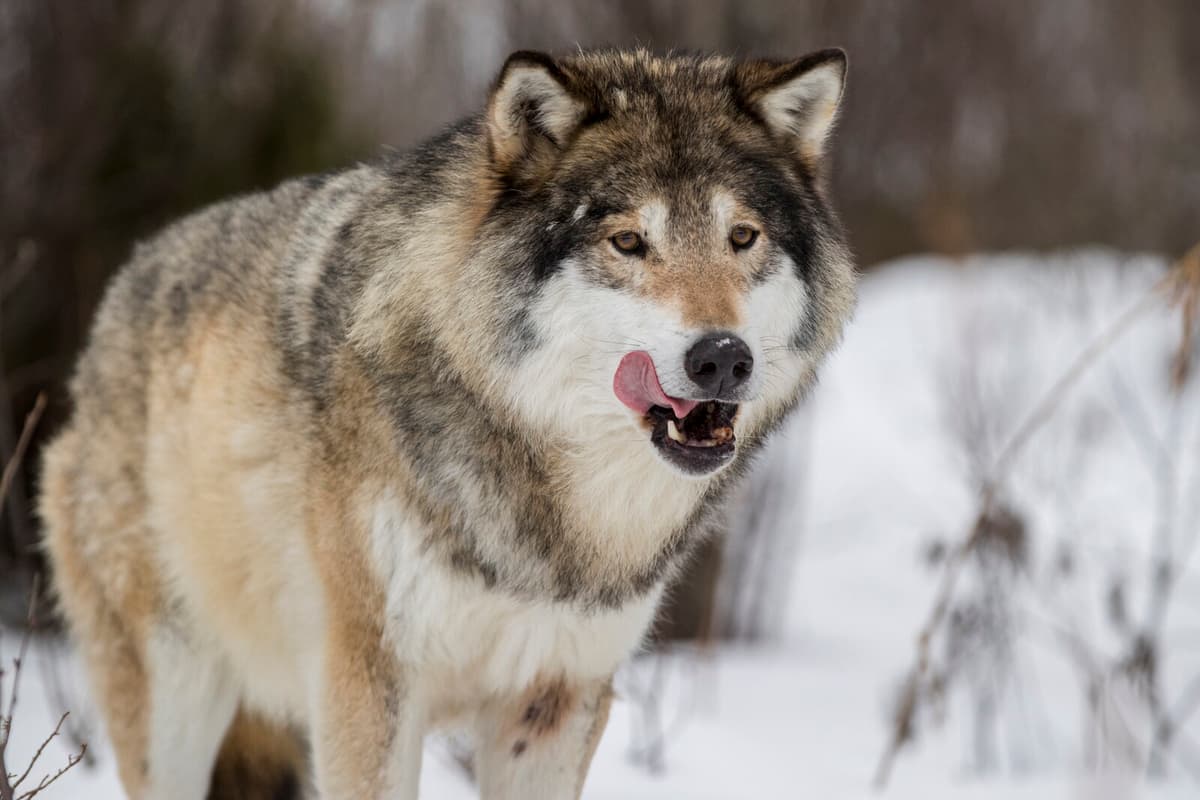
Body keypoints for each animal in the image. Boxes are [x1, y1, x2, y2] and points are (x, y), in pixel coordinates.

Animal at [38, 47, 856, 799]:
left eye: (741, 238)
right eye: (628, 242)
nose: (722, 358)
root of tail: (115, 300)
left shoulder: (558, 698)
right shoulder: (369, 686)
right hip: (176, 698)